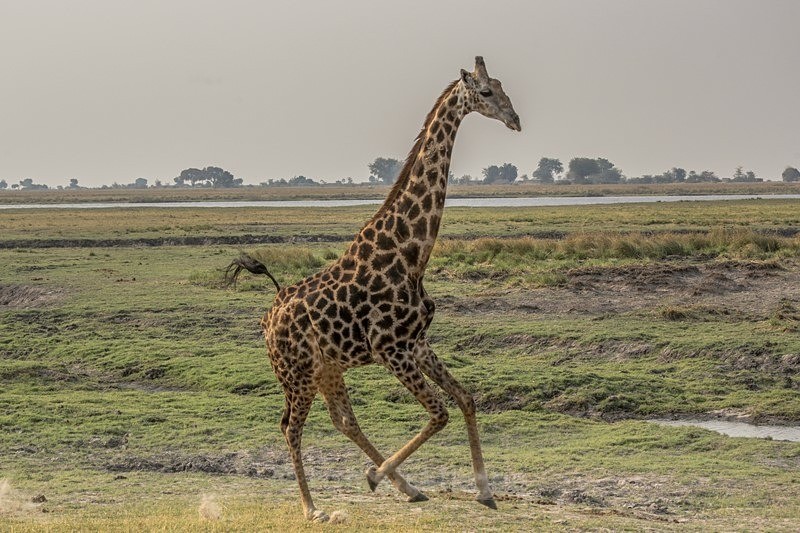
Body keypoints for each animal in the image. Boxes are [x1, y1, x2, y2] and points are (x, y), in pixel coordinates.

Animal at [226, 56, 520, 522]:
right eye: (488, 92)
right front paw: (373, 476)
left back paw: (408, 488)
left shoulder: (417, 343)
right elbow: (439, 413)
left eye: (503, 87)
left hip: (325, 368)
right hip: (296, 372)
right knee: (291, 427)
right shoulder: (391, 349)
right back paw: (312, 507)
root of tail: (268, 317)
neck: (411, 255)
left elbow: (466, 399)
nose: (515, 120)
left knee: (342, 420)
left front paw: (485, 490)